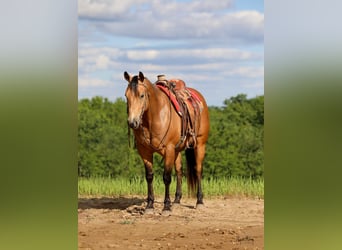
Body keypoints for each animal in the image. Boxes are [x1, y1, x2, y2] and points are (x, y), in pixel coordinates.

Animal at [123, 71, 208, 214]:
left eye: (141, 95)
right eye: (126, 96)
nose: (132, 122)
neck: (154, 115)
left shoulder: (168, 149)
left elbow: (166, 177)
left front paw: (166, 207)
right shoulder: (145, 151)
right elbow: (149, 176)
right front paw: (149, 206)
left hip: (200, 145)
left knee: (198, 170)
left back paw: (200, 201)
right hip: (177, 150)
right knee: (179, 171)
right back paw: (177, 201)